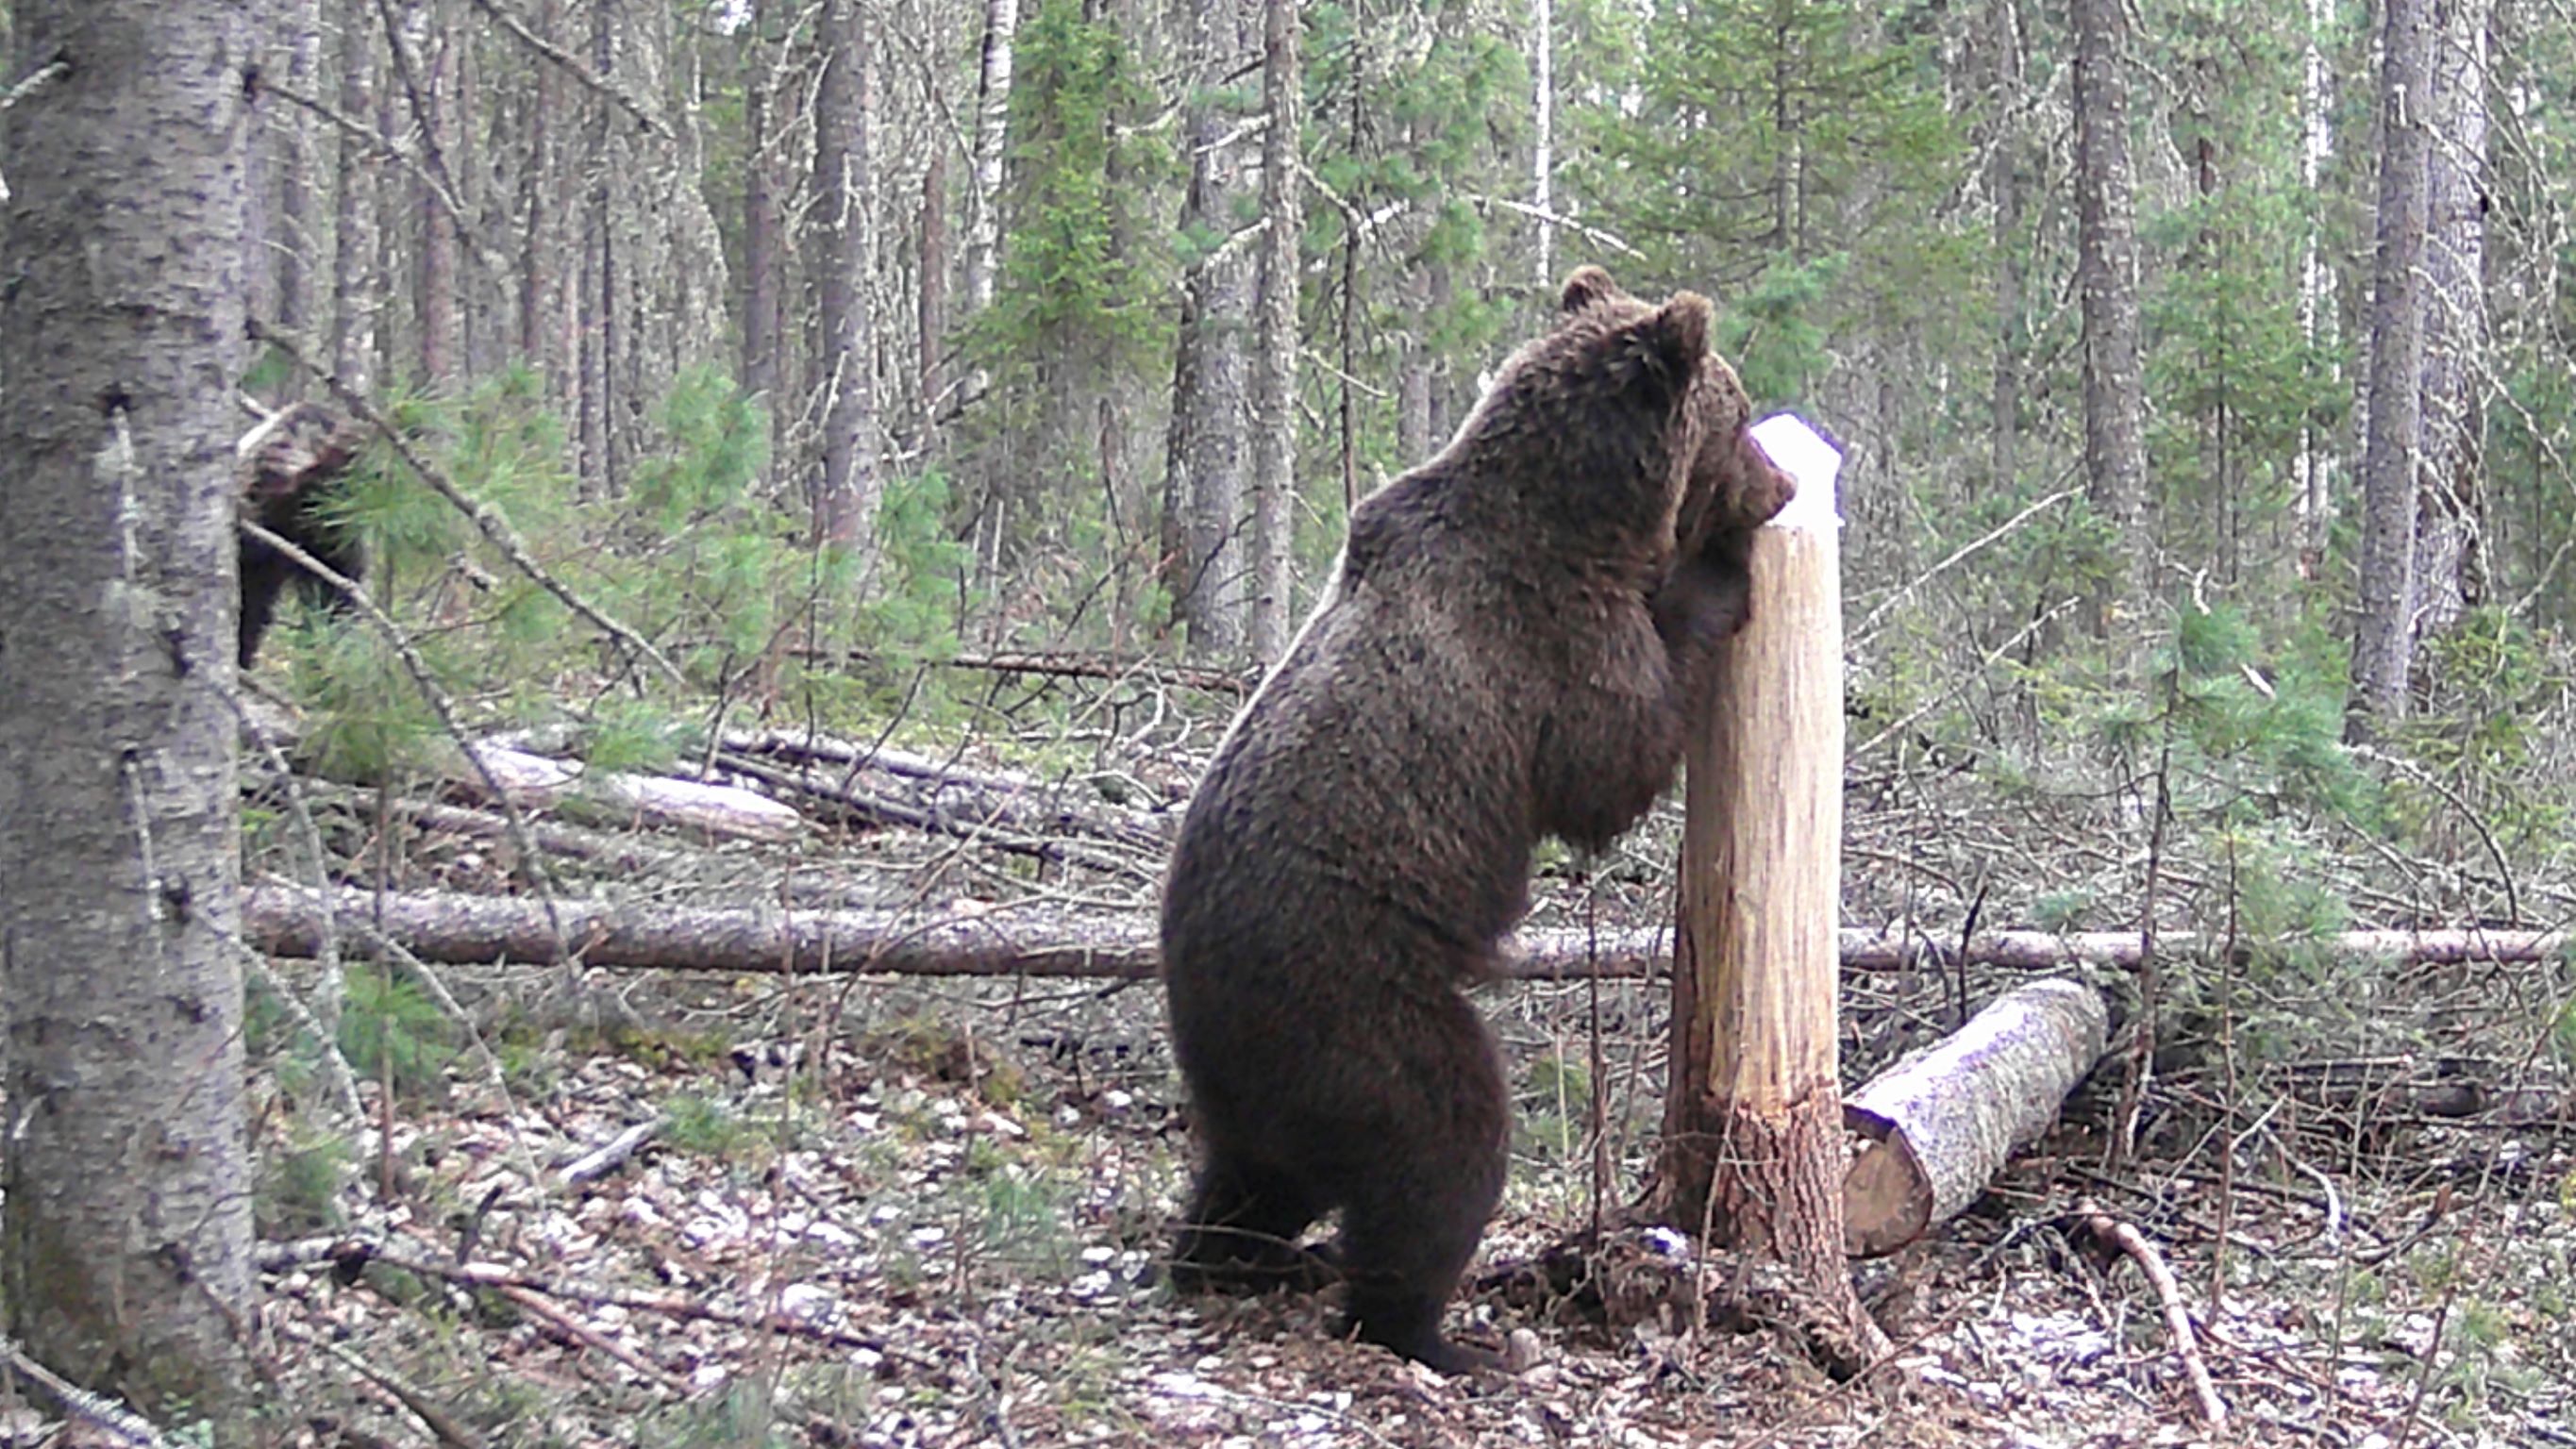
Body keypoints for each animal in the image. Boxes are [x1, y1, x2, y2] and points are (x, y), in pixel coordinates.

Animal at [1163, 269, 1793, 1369]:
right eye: (1740, 410)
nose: (1785, 485)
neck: (1583, 523)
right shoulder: (1545, 643)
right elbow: (1612, 763)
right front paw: (1716, 578)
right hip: (1359, 1003)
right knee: (1441, 1144)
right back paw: (1436, 1330)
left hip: (1265, 1070)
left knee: (1254, 1180)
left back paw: (1242, 1258)